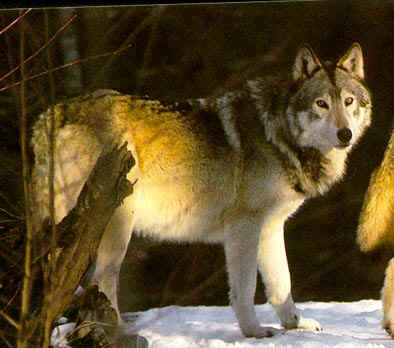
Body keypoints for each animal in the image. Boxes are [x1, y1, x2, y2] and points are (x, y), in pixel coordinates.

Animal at [31, 42, 372, 338]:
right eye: (321, 104)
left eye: (349, 101)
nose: (345, 134)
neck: (279, 135)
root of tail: (53, 113)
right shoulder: (244, 227)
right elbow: (246, 288)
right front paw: (254, 331)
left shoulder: (271, 226)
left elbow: (281, 285)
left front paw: (295, 325)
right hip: (115, 224)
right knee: (100, 279)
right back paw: (118, 332)